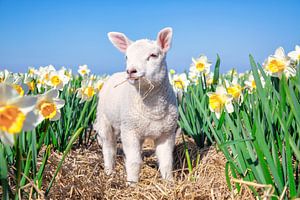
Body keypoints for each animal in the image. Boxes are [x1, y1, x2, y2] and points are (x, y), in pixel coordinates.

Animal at [94, 27, 178, 184]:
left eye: (153, 55)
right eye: (126, 57)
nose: (131, 71)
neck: (153, 108)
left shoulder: (167, 133)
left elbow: (166, 162)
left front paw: (169, 182)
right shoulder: (129, 131)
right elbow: (133, 161)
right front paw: (132, 183)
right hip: (104, 120)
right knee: (109, 148)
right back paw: (109, 171)